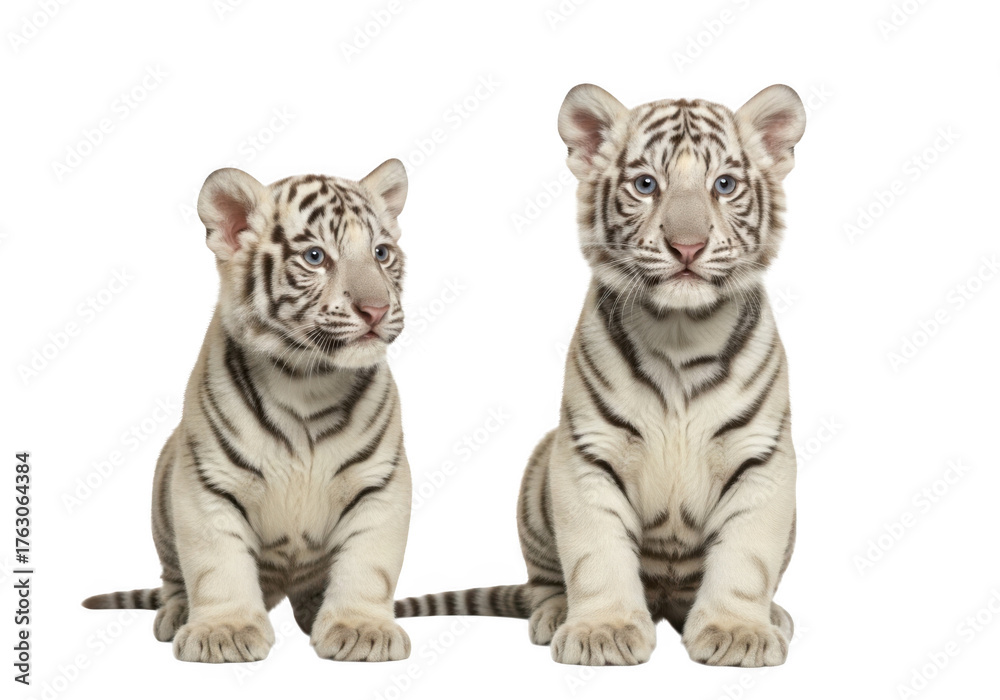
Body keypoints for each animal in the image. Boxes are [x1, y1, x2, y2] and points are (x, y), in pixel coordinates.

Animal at [83, 159, 414, 664]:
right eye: (315, 257)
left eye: (381, 253)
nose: (376, 310)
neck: (308, 380)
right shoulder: (206, 483)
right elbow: (215, 564)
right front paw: (224, 631)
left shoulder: (381, 482)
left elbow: (369, 562)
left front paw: (361, 628)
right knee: (175, 577)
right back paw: (177, 613)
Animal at [395, 84, 806, 667]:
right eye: (645, 184)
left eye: (724, 185)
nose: (687, 246)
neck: (681, 333)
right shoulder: (587, 453)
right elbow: (596, 553)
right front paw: (602, 631)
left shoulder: (761, 457)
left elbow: (746, 558)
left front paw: (737, 632)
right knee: (545, 581)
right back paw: (554, 613)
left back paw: (774, 615)